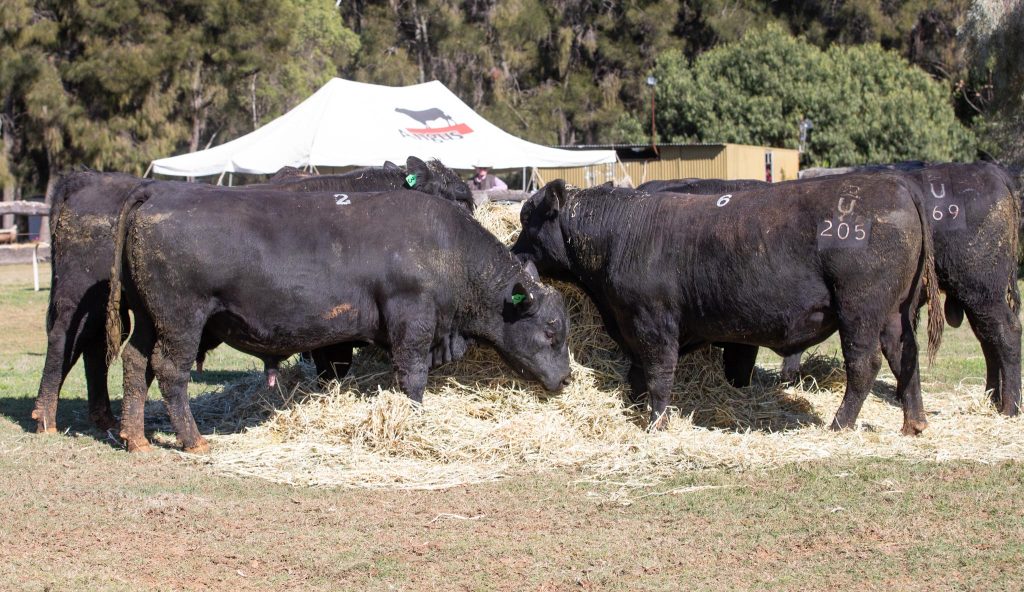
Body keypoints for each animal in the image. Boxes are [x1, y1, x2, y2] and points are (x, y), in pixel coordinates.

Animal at [31, 157, 474, 434]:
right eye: (462, 198)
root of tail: (88, 180)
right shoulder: (336, 335)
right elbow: (333, 370)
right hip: (85, 301)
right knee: (64, 343)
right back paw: (47, 417)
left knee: (100, 352)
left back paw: (108, 422)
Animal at [105, 184, 571, 453]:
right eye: (551, 330)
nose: (566, 380)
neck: (448, 250)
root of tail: (158, 196)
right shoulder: (413, 324)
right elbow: (413, 377)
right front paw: (412, 418)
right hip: (181, 321)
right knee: (170, 371)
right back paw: (194, 440)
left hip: (148, 320)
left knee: (135, 363)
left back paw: (136, 439)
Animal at [511, 175, 942, 434]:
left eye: (529, 217)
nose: (513, 251)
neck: (621, 233)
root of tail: (894, 184)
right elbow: (637, 372)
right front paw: (634, 406)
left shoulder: (653, 323)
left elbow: (658, 373)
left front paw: (656, 422)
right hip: (893, 314)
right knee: (905, 356)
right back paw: (914, 424)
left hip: (860, 310)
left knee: (864, 364)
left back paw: (839, 424)